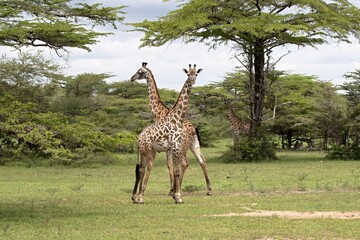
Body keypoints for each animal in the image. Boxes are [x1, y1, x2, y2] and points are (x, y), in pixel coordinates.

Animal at [131, 62, 212, 196]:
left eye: (139, 71)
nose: (132, 78)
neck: (158, 112)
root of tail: (194, 128)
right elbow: (170, 165)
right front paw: (172, 189)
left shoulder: (167, 147)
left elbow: (169, 165)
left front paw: (171, 190)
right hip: (194, 144)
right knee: (202, 160)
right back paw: (209, 190)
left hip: (184, 146)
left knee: (184, 163)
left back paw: (178, 189)